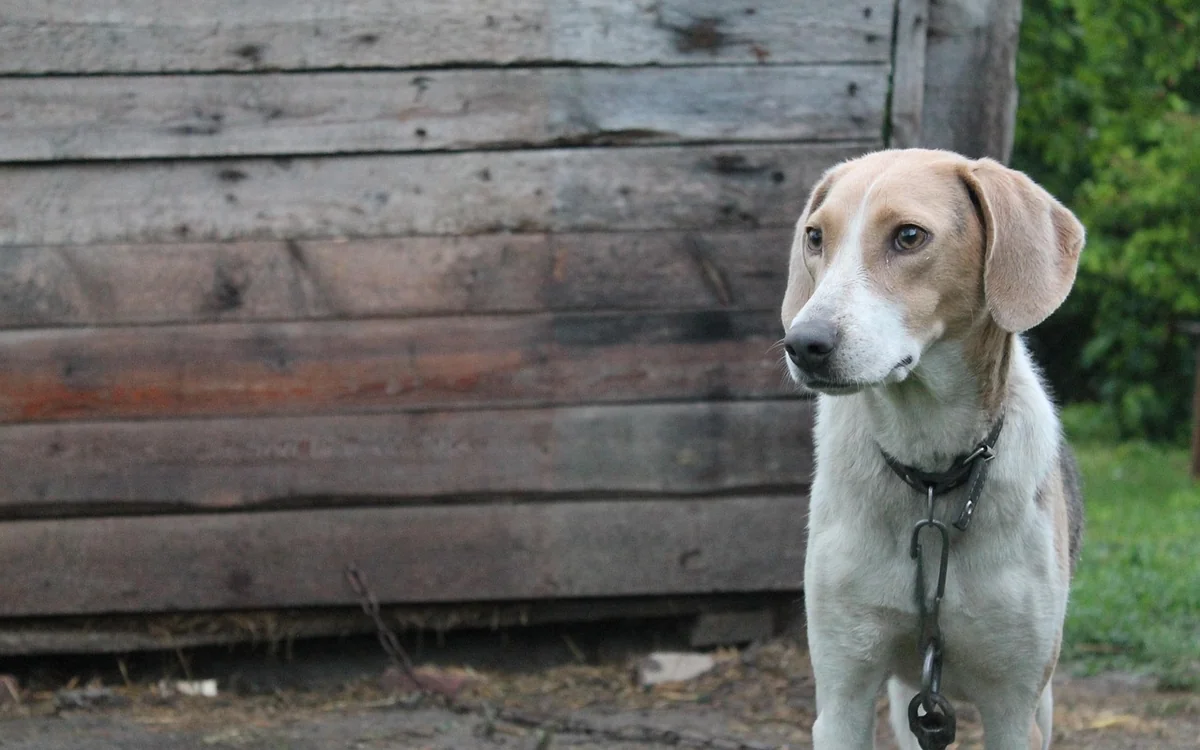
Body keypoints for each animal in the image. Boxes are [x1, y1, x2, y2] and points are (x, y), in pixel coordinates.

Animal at [780, 149, 1085, 749]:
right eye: (815, 237)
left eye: (909, 236)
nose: (802, 344)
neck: (930, 474)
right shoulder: (843, 696)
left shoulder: (1015, 709)